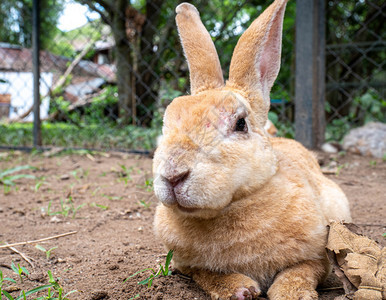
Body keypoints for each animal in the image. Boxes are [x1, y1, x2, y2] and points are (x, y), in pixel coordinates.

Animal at [152, 1, 352, 298]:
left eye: (240, 123)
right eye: (166, 123)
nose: (173, 175)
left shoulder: (317, 256)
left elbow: (302, 270)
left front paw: (290, 292)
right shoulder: (186, 265)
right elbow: (205, 273)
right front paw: (239, 288)